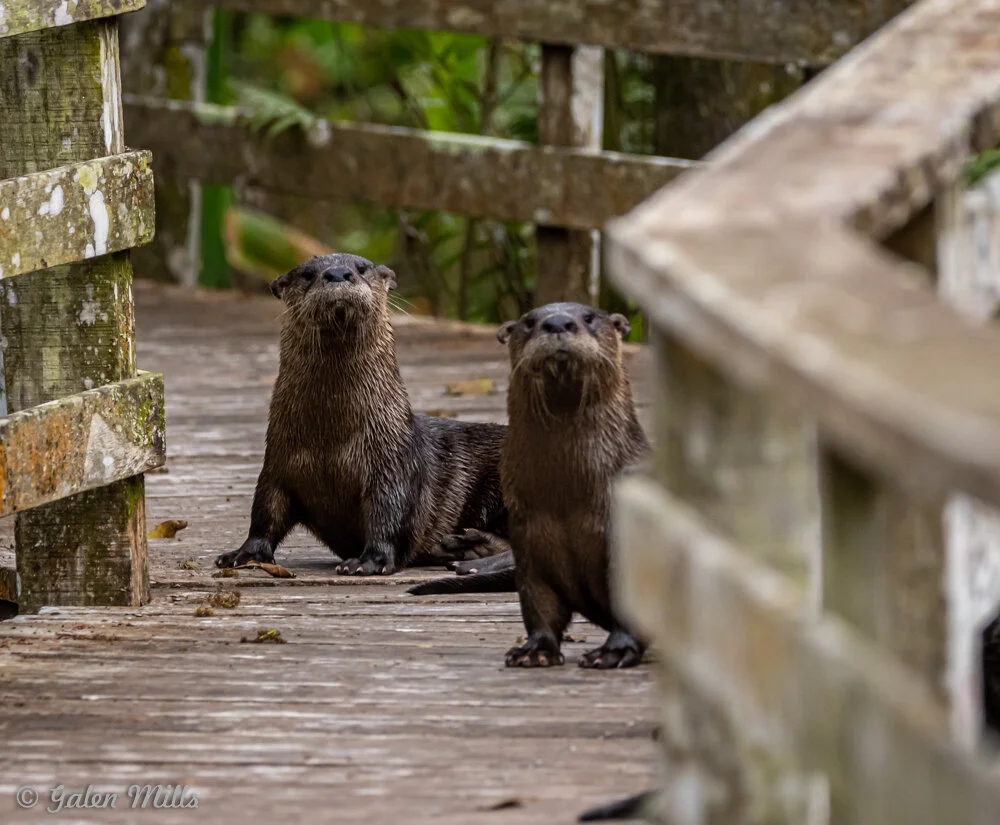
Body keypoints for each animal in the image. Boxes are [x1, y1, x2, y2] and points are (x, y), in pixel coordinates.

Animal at [214, 253, 507, 576]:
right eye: (307, 274)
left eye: (363, 268)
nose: (338, 274)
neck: (329, 442)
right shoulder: (278, 464)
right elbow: (265, 511)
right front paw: (245, 554)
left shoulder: (393, 465)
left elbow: (388, 516)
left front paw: (369, 561)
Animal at [414, 302, 650, 669]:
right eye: (528, 322)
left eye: (590, 318)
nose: (558, 323)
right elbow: (540, 604)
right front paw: (535, 650)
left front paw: (614, 651)